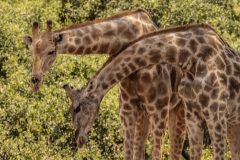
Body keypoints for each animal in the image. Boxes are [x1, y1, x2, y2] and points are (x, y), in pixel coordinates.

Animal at [23, 9, 186, 160]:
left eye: (51, 51)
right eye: (30, 51)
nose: (35, 81)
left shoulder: (158, 109)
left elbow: (156, 153)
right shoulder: (127, 107)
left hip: (178, 110)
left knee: (175, 149)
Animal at [62, 23, 239, 160]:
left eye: (77, 108)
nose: (78, 139)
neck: (192, 59)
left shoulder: (215, 115)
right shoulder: (193, 117)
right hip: (231, 122)